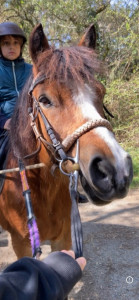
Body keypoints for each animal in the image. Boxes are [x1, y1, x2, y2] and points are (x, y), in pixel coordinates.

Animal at [0, 23, 133, 258]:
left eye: (102, 92)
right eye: (44, 100)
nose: (115, 171)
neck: (43, 187)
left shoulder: (63, 239)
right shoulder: (21, 244)